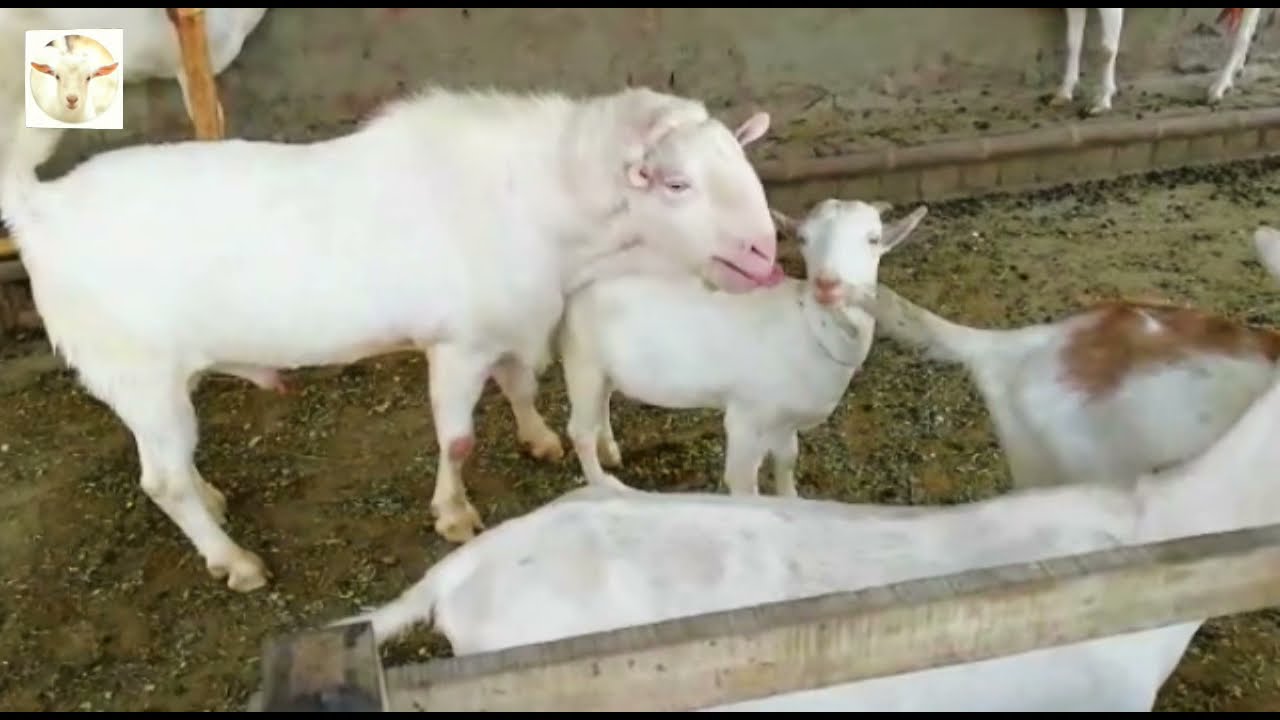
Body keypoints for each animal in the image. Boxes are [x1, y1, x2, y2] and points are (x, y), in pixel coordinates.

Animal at [0, 85, 783, 593]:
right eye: (677, 184)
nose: (764, 253)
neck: (540, 205)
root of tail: (40, 209)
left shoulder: (504, 321)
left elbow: (519, 383)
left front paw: (537, 439)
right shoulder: (457, 342)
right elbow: (457, 439)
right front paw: (455, 515)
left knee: (168, 465)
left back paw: (214, 498)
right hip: (138, 371)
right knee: (161, 481)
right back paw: (236, 562)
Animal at [558, 199, 927, 496]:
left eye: (873, 239)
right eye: (804, 239)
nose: (827, 284)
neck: (808, 327)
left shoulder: (785, 421)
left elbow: (787, 461)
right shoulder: (746, 418)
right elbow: (742, 482)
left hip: (603, 364)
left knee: (602, 402)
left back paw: (610, 450)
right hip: (581, 358)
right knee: (579, 430)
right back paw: (604, 484)